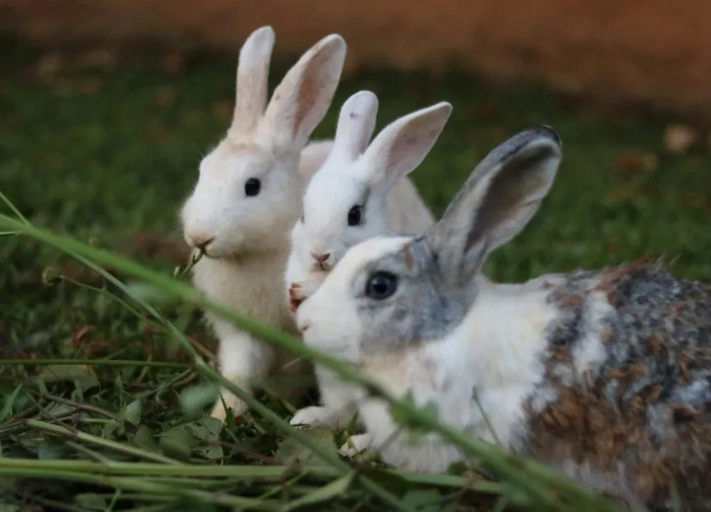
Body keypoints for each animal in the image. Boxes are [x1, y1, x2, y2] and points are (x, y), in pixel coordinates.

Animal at [179, 25, 347, 422]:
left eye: (252, 186)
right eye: (202, 172)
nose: (200, 237)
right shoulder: (241, 333)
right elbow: (239, 373)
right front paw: (221, 415)